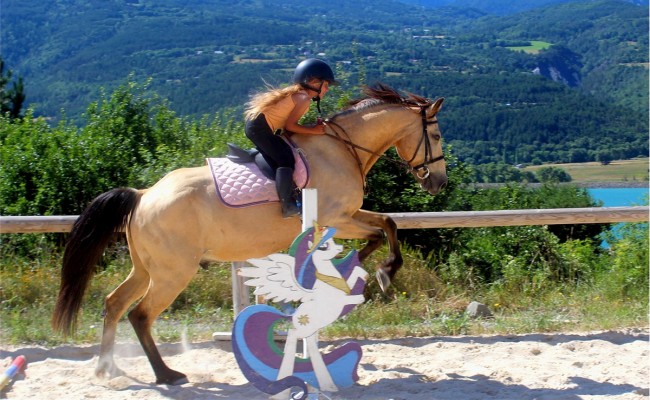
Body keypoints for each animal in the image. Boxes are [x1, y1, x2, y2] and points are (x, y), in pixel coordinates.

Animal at [52, 83, 446, 386]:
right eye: (437, 134)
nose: (438, 183)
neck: (343, 149)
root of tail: (144, 195)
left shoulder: (347, 215)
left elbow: (387, 224)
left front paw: (371, 272)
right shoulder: (337, 217)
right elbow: (380, 232)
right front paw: (380, 273)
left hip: (146, 268)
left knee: (114, 303)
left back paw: (108, 368)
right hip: (172, 273)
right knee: (140, 315)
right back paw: (166, 374)